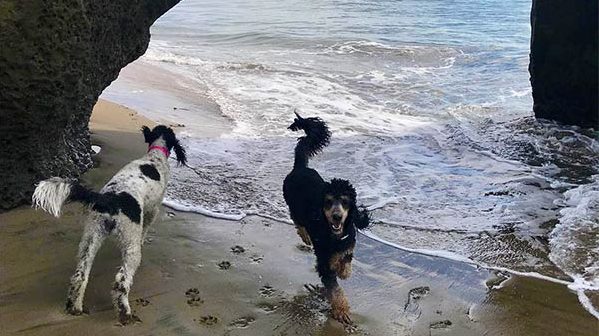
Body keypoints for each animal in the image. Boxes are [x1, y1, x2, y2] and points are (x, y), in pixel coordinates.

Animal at [30, 124, 184, 324]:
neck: (154, 156)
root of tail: (109, 199)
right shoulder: (153, 209)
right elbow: (146, 227)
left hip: (91, 236)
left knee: (80, 275)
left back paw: (75, 307)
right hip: (130, 244)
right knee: (121, 281)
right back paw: (125, 313)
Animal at [282, 112, 370, 322]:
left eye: (345, 201)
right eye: (328, 201)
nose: (337, 217)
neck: (335, 235)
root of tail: (299, 167)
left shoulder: (348, 243)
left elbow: (346, 260)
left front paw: (343, 270)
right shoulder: (323, 262)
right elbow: (334, 287)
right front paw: (341, 310)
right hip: (294, 206)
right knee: (298, 221)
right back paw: (305, 236)